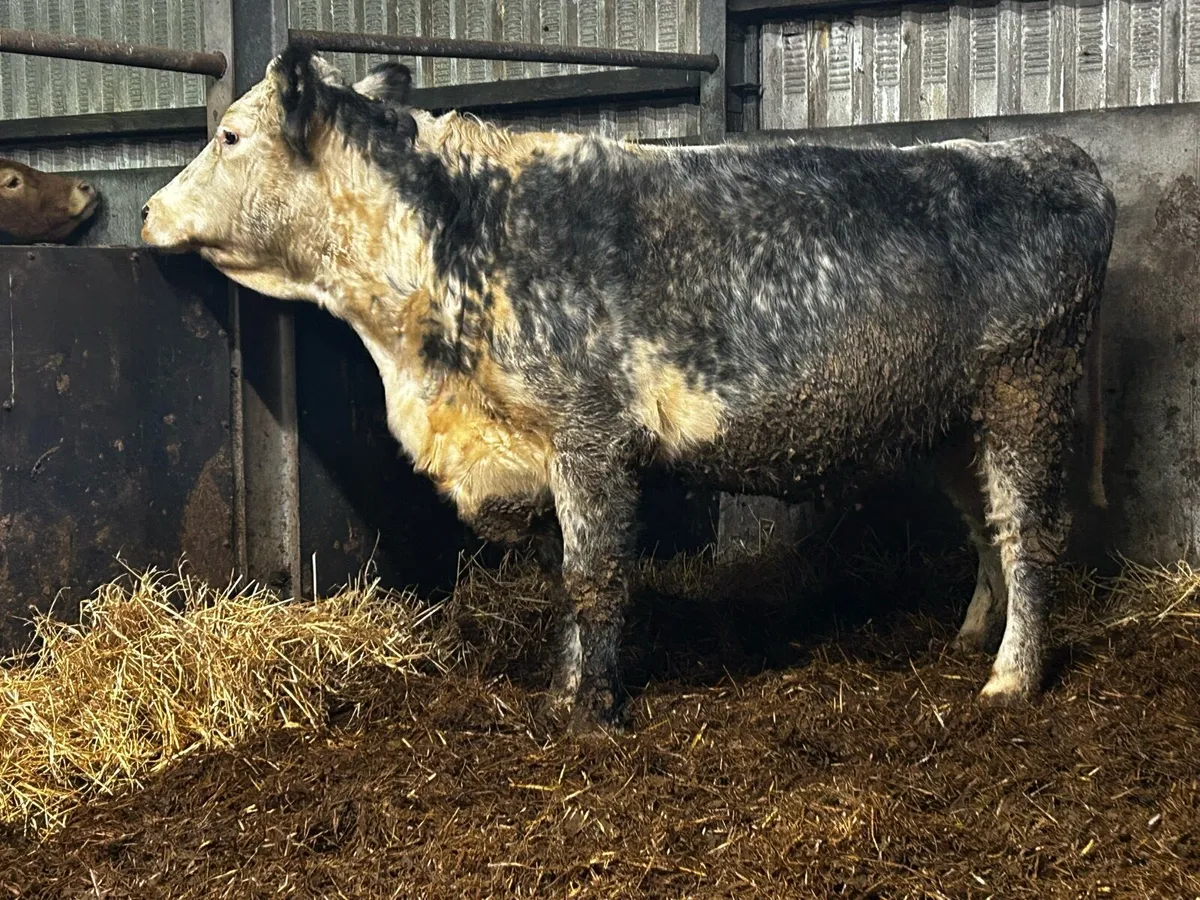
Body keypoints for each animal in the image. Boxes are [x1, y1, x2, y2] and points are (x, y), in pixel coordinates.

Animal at [140, 47, 1117, 730]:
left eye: (229, 135)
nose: (146, 212)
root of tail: (1049, 151)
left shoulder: (589, 436)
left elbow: (595, 578)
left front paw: (591, 714)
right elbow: (571, 584)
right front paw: (563, 694)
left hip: (1029, 387)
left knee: (1029, 533)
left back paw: (1011, 678)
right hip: (960, 417)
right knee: (986, 526)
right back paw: (972, 638)